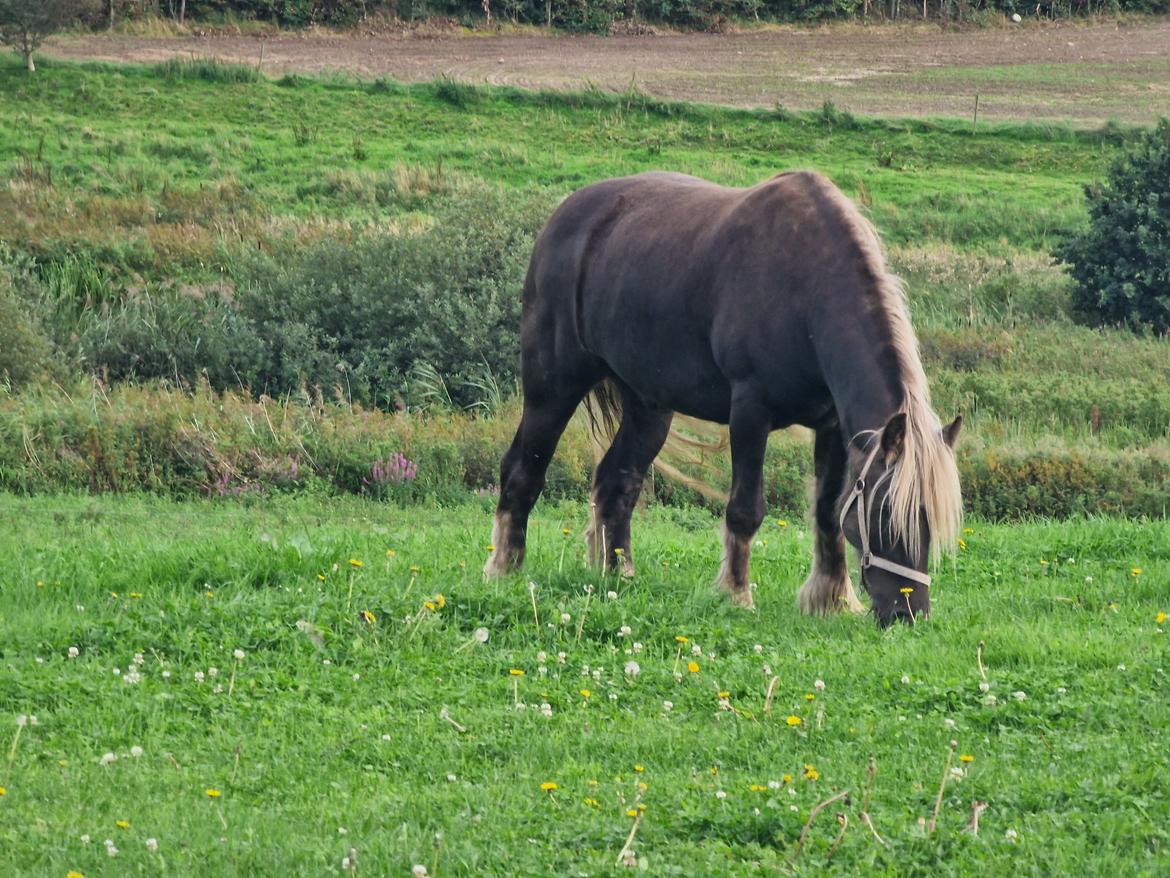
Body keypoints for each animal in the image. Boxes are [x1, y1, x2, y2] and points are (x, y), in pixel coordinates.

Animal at [482, 169, 959, 627]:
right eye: (885, 513)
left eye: (930, 517)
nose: (907, 613)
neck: (804, 288)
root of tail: (561, 220)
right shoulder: (750, 411)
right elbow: (745, 509)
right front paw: (736, 595)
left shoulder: (832, 426)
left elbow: (828, 513)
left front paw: (831, 599)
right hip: (553, 387)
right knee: (522, 470)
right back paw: (504, 570)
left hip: (648, 406)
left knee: (617, 482)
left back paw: (618, 577)